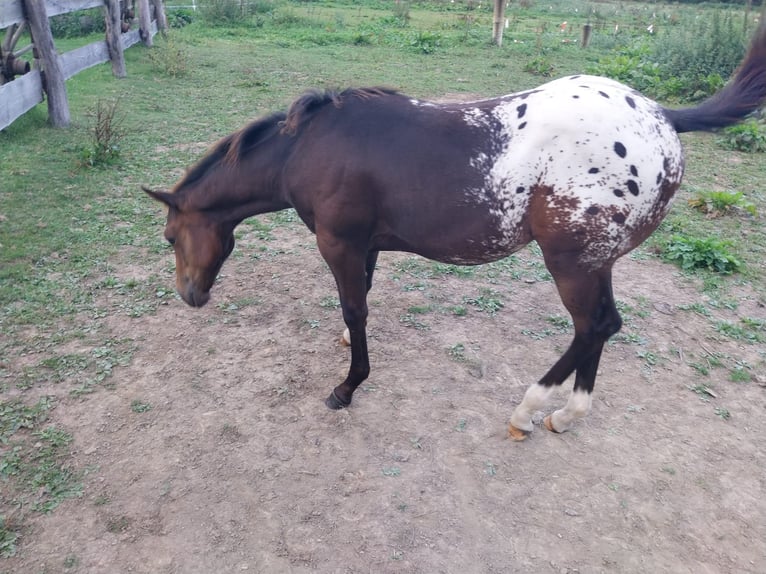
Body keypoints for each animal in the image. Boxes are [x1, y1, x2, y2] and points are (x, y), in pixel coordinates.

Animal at [147, 22, 766, 440]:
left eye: (171, 238)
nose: (190, 295)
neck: (308, 147)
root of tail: (662, 116)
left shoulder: (339, 243)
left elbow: (355, 307)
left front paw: (348, 386)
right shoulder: (365, 245)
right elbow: (362, 298)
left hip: (571, 262)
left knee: (592, 326)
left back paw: (527, 410)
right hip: (598, 260)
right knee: (603, 326)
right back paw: (566, 414)